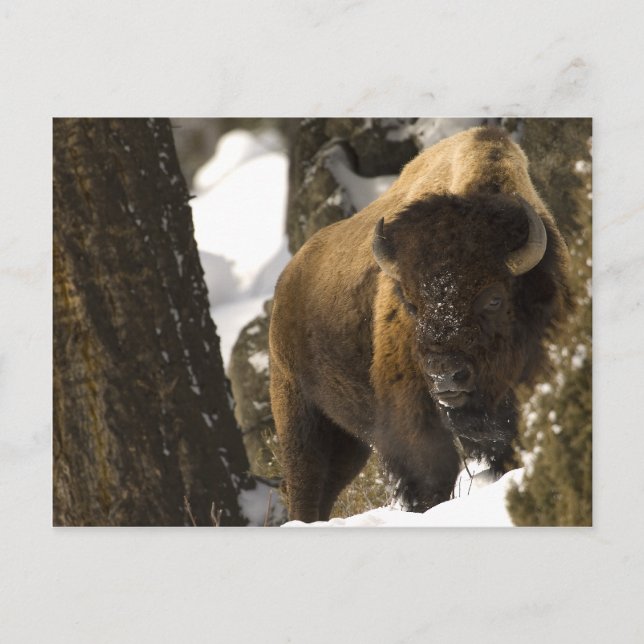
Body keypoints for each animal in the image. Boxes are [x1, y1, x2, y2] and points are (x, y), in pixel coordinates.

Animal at [269, 126, 571, 522]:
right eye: (410, 304)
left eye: (494, 298)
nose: (446, 376)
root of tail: (285, 282)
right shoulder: (414, 420)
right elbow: (429, 477)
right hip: (300, 417)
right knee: (305, 484)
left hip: (349, 442)